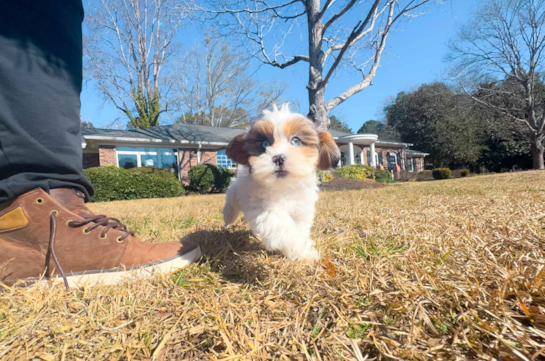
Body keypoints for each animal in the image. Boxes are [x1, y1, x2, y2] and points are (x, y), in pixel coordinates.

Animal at [223, 102, 338, 260]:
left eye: (296, 140)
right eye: (265, 144)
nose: (278, 157)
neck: (284, 186)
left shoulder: (301, 210)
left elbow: (299, 227)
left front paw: (305, 252)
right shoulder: (264, 209)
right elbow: (281, 225)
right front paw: (297, 246)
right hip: (236, 192)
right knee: (231, 202)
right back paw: (228, 216)